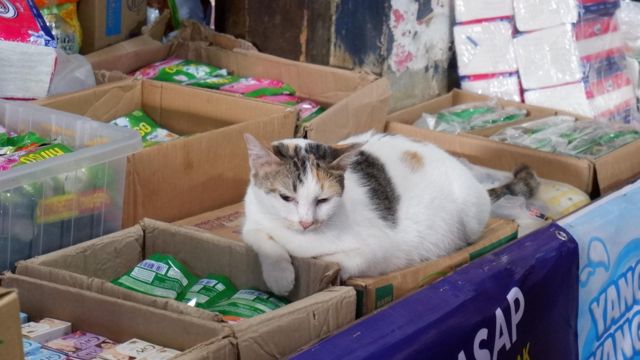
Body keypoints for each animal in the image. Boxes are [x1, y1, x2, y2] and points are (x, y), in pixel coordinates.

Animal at [242, 132, 536, 296]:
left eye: (323, 200)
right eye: (286, 198)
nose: (306, 222)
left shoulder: (382, 248)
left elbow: (342, 260)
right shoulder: (251, 220)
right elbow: (262, 238)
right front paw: (280, 275)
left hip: (470, 213)